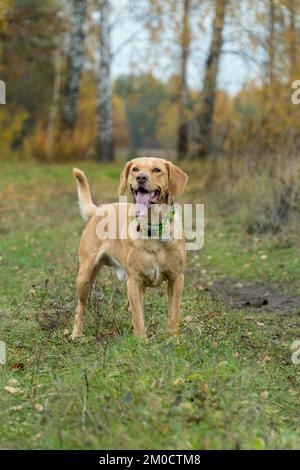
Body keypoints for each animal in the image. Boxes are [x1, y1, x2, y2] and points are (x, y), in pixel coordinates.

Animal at [70, 156, 188, 340]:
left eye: (157, 170)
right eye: (135, 169)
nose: (141, 177)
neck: (152, 228)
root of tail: (99, 209)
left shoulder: (176, 279)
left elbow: (173, 314)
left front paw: (173, 339)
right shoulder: (135, 281)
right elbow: (139, 318)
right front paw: (142, 341)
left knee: (129, 307)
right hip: (85, 276)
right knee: (80, 306)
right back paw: (76, 335)